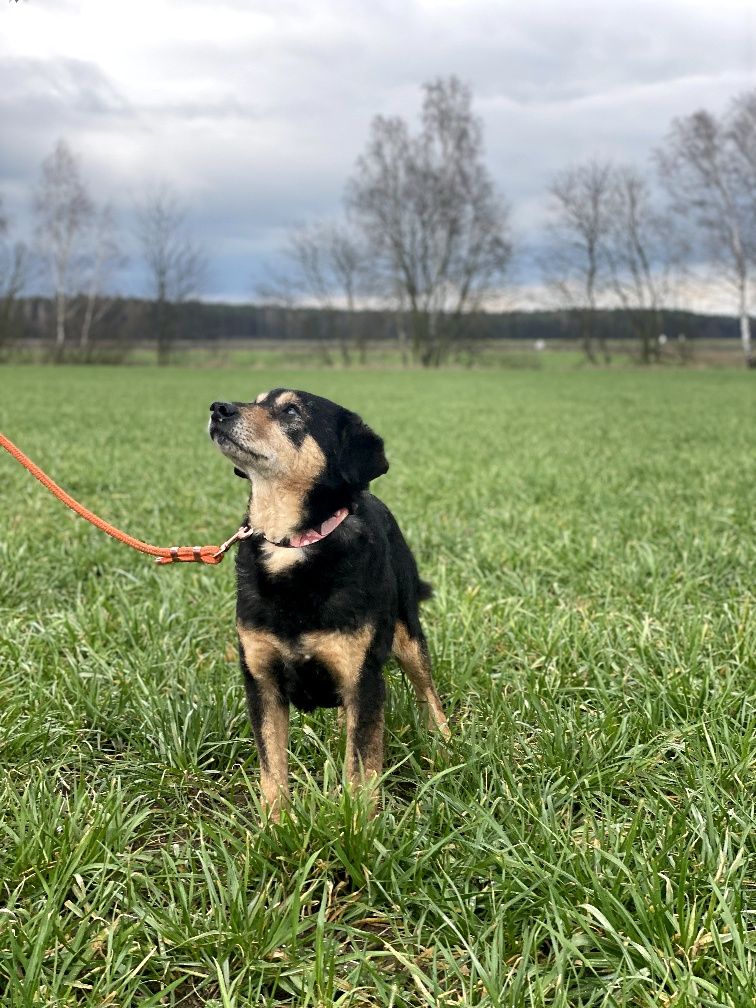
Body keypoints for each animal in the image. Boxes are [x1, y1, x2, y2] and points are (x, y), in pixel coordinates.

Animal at [207, 389, 449, 814]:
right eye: (257, 399)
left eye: (291, 411)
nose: (219, 409)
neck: (293, 544)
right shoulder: (262, 682)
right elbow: (273, 772)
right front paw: (276, 825)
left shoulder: (364, 679)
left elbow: (361, 769)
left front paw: (360, 823)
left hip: (407, 636)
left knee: (428, 693)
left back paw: (450, 745)